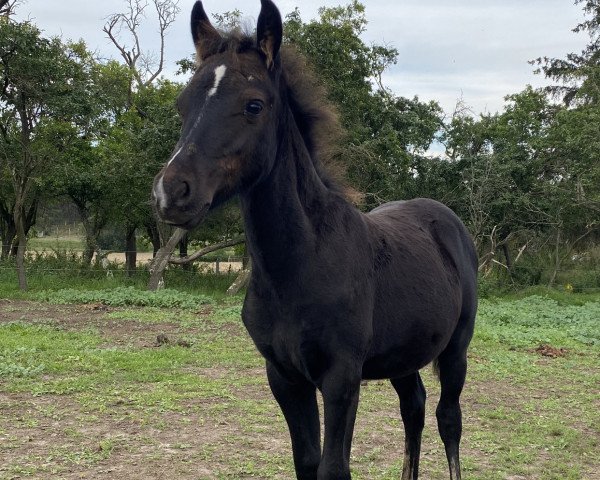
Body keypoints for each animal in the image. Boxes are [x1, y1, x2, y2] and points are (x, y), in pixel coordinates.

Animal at [154, 1, 478, 478]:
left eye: (254, 105)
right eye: (182, 104)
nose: (172, 192)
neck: (302, 263)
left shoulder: (341, 378)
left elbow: (333, 466)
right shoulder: (284, 377)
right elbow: (306, 461)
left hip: (456, 347)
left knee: (448, 419)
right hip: (403, 352)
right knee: (414, 408)